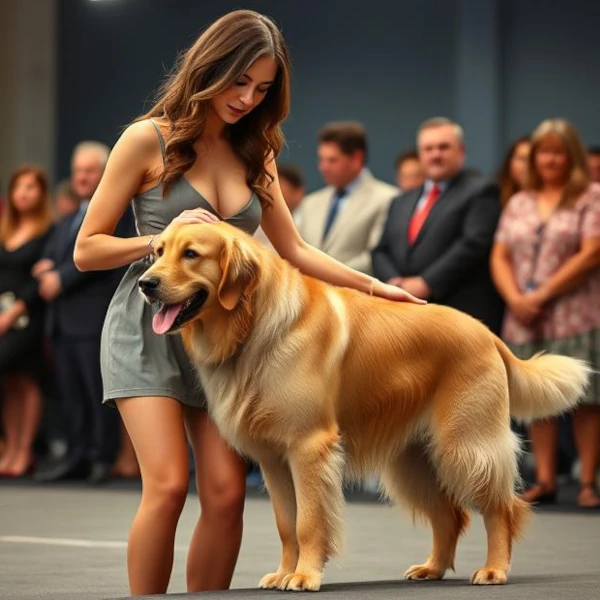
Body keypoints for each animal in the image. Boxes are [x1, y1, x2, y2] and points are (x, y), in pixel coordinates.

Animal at [139, 223, 592, 592]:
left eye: (191, 254)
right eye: (158, 251)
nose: (145, 283)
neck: (252, 327)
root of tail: (485, 331)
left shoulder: (309, 447)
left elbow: (308, 521)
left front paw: (304, 575)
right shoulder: (272, 458)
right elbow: (287, 524)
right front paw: (285, 572)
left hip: (465, 443)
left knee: (501, 508)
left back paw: (494, 569)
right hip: (413, 461)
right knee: (450, 515)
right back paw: (432, 568)